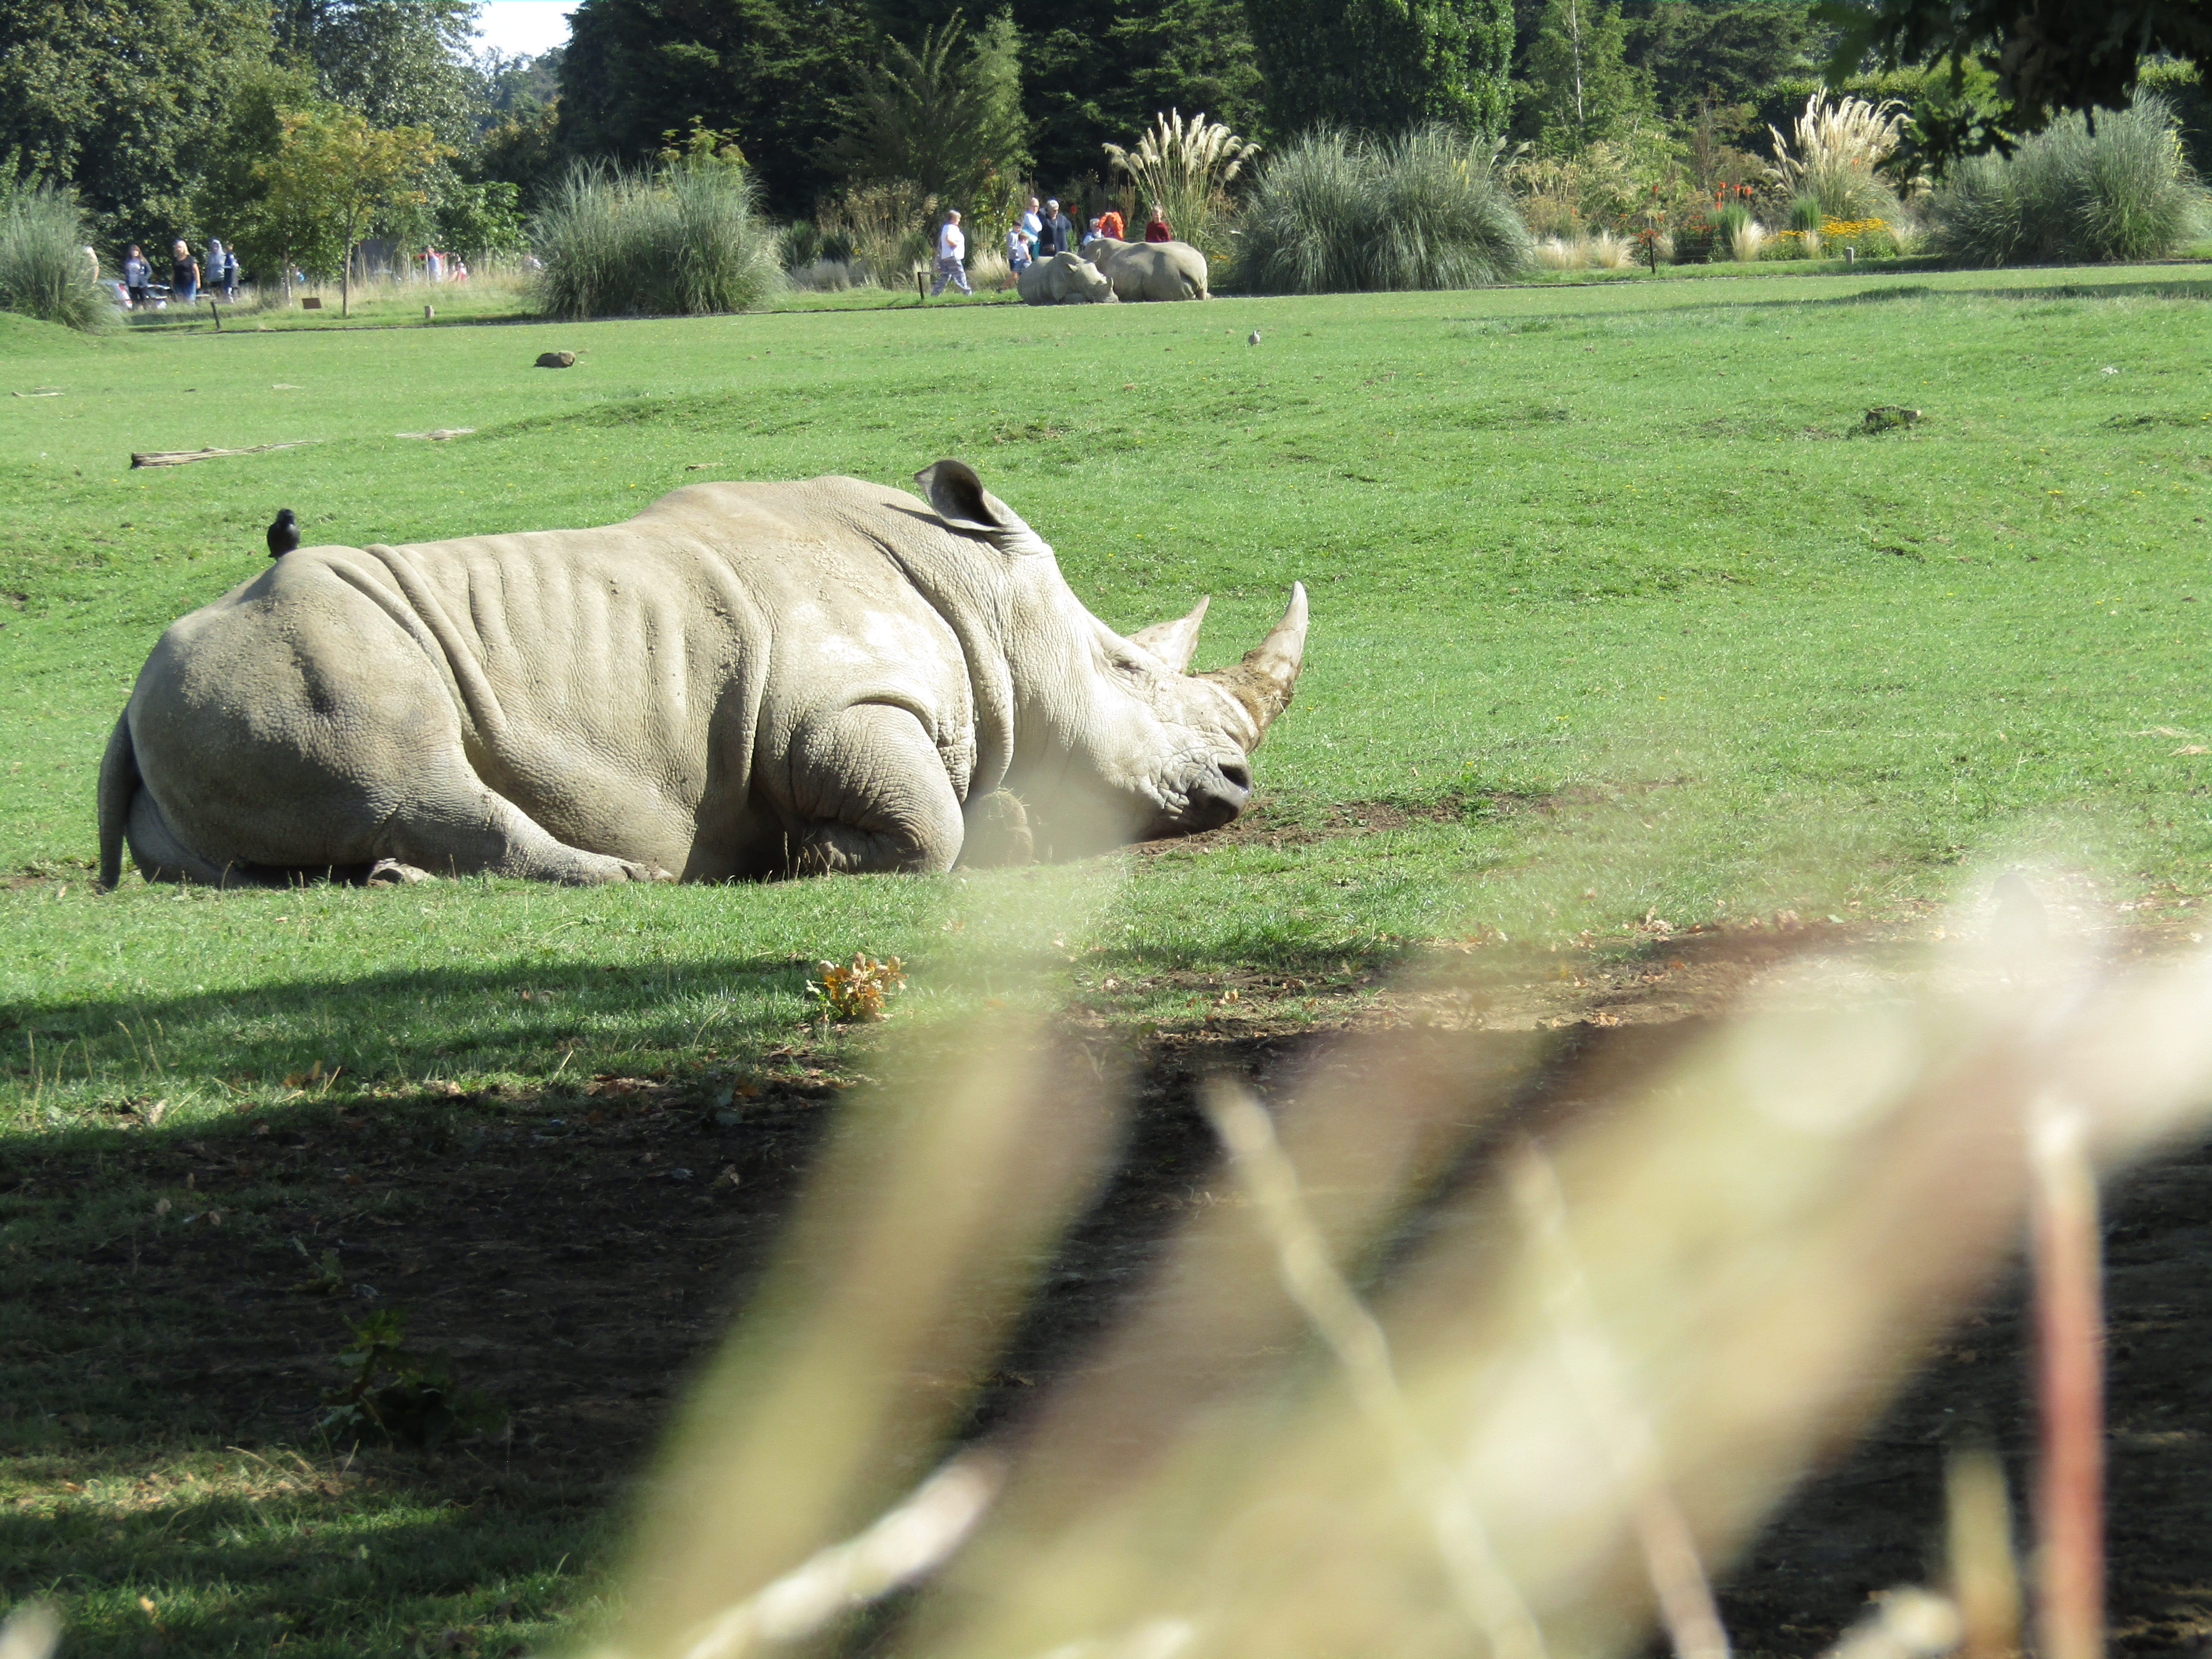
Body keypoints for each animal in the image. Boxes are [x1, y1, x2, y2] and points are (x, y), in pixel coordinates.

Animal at [96, 461, 1307, 889]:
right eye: (1127, 668)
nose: (1238, 786)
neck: (989, 608)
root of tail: (131, 690)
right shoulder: (832, 709)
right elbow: (927, 825)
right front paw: (814, 854)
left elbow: (968, 812)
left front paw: (1009, 828)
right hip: (311, 662)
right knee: (417, 773)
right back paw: (631, 877)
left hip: (212, 697)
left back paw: (389, 880)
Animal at [1017, 251, 1115, 305]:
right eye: (1089, 287)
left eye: (1104, 277)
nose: (1112, 301)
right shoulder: (1060, 293)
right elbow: (1079, 296)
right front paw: (1085, 301)